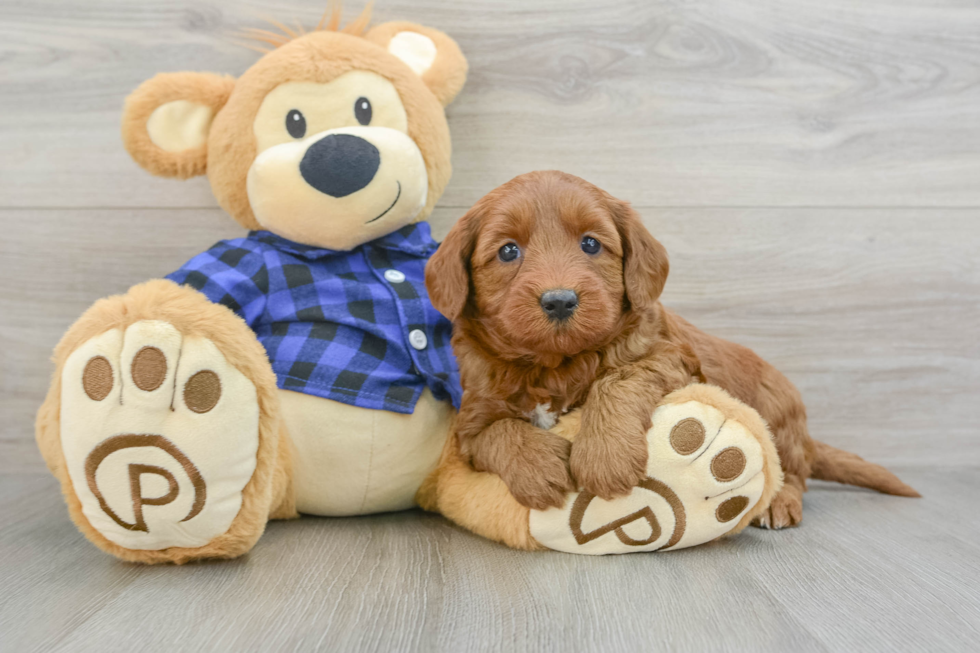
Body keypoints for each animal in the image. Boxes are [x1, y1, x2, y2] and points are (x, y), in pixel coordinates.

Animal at [424, 171, 916, 528]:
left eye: (590, 243)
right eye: (508, 251)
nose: (560, 300)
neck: (554, 364)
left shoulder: (669, 356)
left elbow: (617, 379)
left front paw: (604, 457)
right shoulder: (472, 413)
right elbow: (496, 432)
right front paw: (536, 466)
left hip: (780, 416)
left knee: (792, 473)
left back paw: (778, 504)